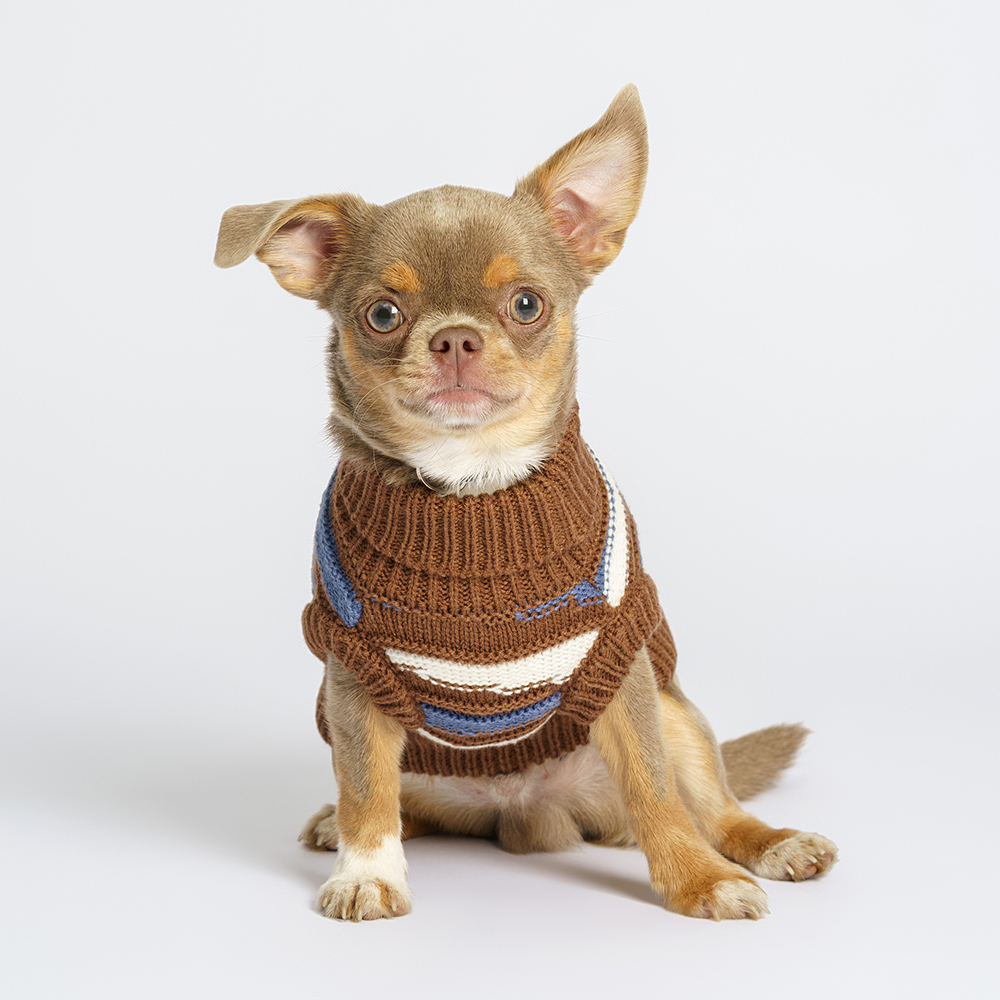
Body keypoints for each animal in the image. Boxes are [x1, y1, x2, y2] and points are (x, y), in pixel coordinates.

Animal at [214, 85, 837, 921]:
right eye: (382, 315)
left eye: (526, 304)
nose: (454, 339)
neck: (473, 485)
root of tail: (530, 812)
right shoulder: (353, 677)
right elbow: (367, 789)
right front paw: (369, 872)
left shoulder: (620, 668)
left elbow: (656, 792)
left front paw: (697, 879)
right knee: (389, 799)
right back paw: (336, 827)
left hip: (674, 711)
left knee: (709, 801)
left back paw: (769, 842)